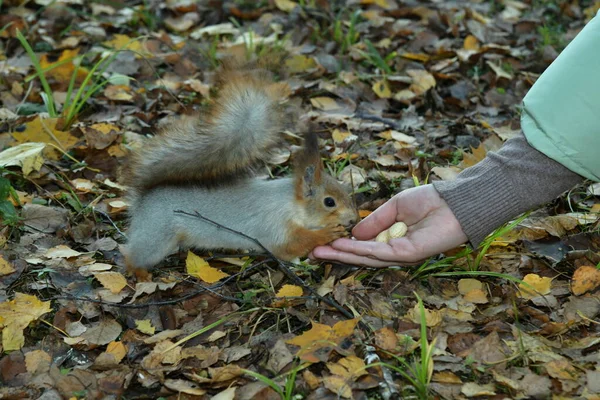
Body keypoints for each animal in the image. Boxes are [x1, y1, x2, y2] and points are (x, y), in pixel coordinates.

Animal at [119, 60, 358, 272]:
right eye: (329, 202)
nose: (354, 219)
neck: (288, 202)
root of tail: (142, 202)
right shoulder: (273, 225)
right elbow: (288, 246)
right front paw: (328, 233)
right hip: (156, 235)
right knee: (132, 257)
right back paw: (140, 274)